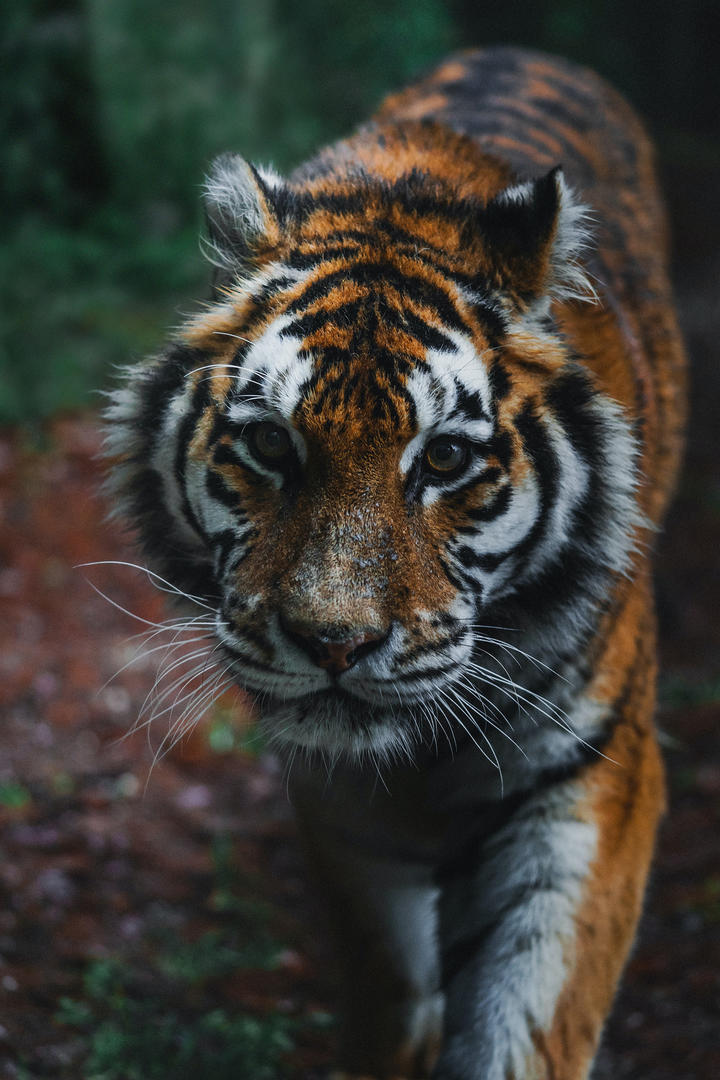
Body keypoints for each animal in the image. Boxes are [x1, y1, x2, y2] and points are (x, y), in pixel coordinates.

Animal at [105, 46, 686, 1080]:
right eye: (270, 445)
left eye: (445, 459)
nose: (334, 644)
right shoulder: (343, 807)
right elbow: (390, 987)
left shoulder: (590, 777)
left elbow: (529, 1018)